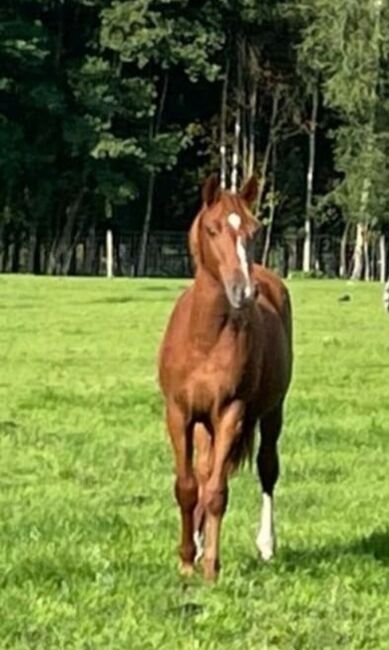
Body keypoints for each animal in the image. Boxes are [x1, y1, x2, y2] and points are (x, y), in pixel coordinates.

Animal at [158, 175, 292, 580]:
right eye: (213, 228)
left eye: (253, 229)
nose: (244, 291)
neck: (203, 338)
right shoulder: (179, 414)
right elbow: (188, 487)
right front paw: (188, 559)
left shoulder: (231, 412)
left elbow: (218, 491)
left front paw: (211, 569)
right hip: (204, 425)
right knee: (203, 473)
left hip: (272, 412)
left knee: (267, 468)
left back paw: (266, 545)